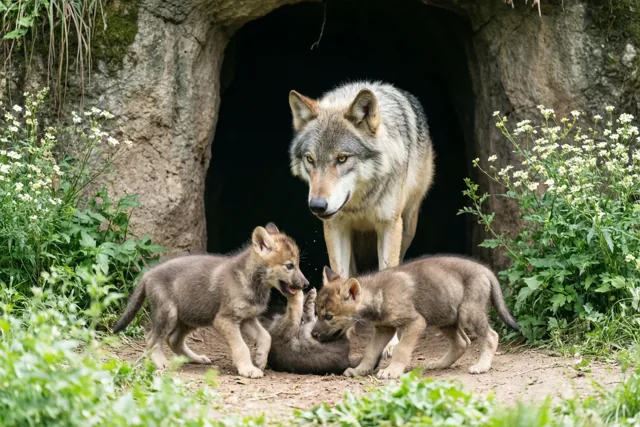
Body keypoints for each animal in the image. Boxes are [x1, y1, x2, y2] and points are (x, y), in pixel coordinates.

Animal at [112, 223, 309, 379]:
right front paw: (248, 369)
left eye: (298, 264)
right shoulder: (225, 320)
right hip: (170, 314)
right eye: (289, 265)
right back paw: (162, 363)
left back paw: (197, 358)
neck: (251, 280)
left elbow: (266, 336)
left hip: (192, 317)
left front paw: (260, 359)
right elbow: (241, 347)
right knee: (152, 339)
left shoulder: (247, 318)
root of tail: (148, 274)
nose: (306, 284)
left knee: (173, 340)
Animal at [288, 81, 435, 357]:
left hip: (408, 224)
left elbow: (388, 274)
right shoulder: (335, 227)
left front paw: (391, 341)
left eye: (342, 158)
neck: (360, 202)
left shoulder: (389, 226)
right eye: (310, 159)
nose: (317, 205)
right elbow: (340, 274)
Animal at [311, 255, 520, 379]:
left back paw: (482, 366)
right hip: (445, 317)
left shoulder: (415, 322)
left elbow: (401, 349)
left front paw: (392, 371)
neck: (378, 293)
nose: (313, 335)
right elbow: (370, 351)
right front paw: (360, 370)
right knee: (462, 342)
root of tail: (486, 270)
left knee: (491, 336)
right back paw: (439, 364)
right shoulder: (383, 329)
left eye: (329, 316)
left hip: (468, 314)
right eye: (316, 313)